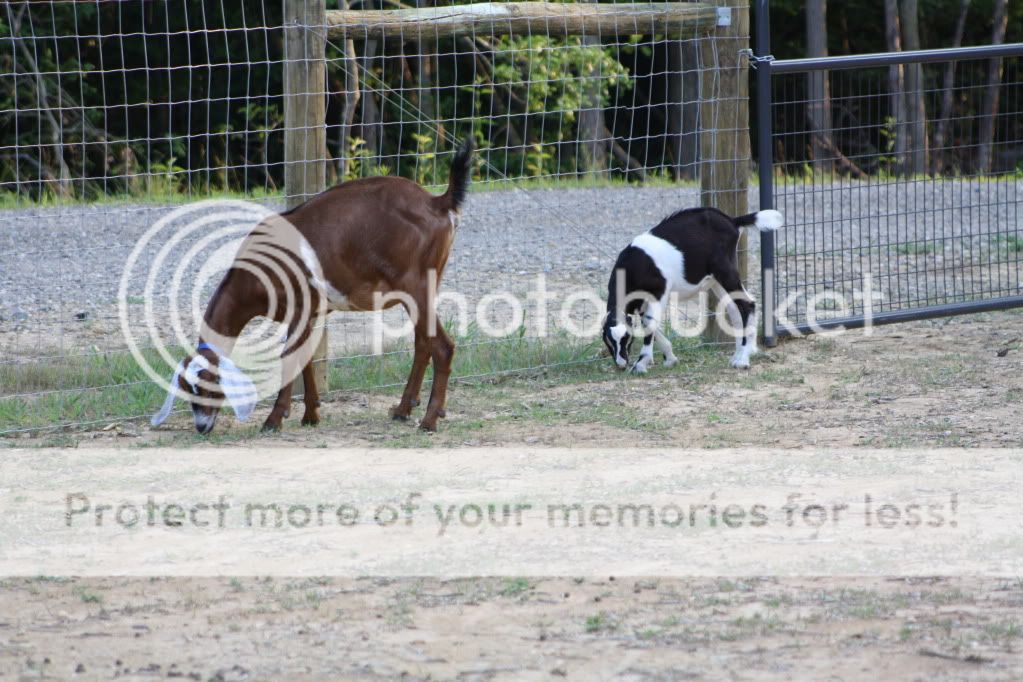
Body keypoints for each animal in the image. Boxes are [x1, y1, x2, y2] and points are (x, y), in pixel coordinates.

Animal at [152, 140, 475, 434]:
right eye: (187, 389)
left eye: (207, 387)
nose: (201, 426)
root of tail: (438, 202)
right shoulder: (307, 314)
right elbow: (305, 359)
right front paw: (310, 414)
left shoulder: (298, 308)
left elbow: (288, 359)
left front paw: (274, 419)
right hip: (420, 290)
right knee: (423, 344)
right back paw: (403, 409)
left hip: (415, 287)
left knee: (442, 347)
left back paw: (429, 420)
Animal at [601, 207, 784, 374]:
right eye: (607, 341)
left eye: (626, 338)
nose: (621, 364)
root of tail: (732, 221)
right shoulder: (640, 303)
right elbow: (646, 322)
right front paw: (670, 358)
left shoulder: (659, 291)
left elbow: (650, 321)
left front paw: (640, 364)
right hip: (715, 280)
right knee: (735, 308)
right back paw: (739, 354)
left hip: (724, 270)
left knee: (746, 304)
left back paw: (742, 359)